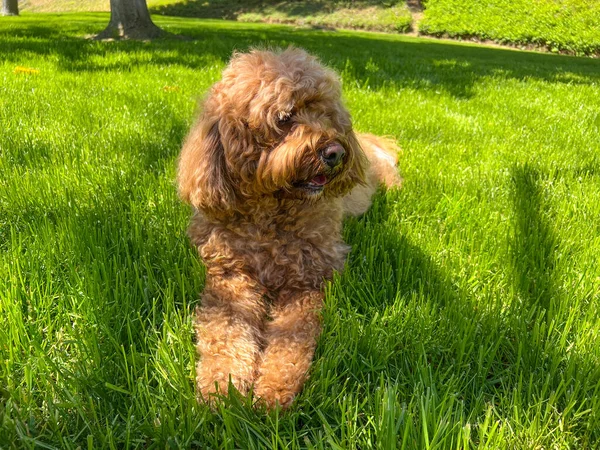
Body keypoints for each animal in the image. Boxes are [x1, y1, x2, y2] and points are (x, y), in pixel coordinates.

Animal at [178, 47, 404, 410]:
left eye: (324, 113)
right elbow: (225, 332)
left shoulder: (307, 281)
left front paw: (273, 389)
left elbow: (292, 341)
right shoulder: (230, 278)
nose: (335, 152)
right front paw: (222, 387)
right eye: (284, 118)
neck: (271, 215)